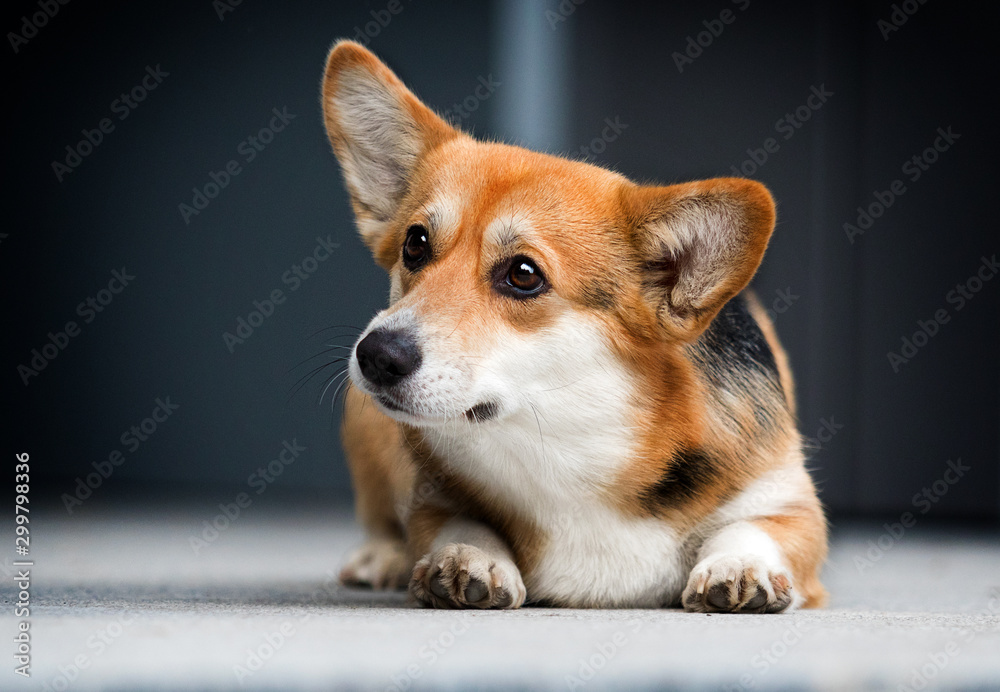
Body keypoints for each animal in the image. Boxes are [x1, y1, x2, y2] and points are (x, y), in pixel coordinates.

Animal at [322, 40, 828, 612]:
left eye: (523, 274)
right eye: (415, 244)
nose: (376, 356)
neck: (567, 444)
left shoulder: (788, 499)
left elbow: (754, 527)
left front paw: (741, 565)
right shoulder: (432, 497)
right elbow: (453, 523)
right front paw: (469, 558)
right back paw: (380, 556)